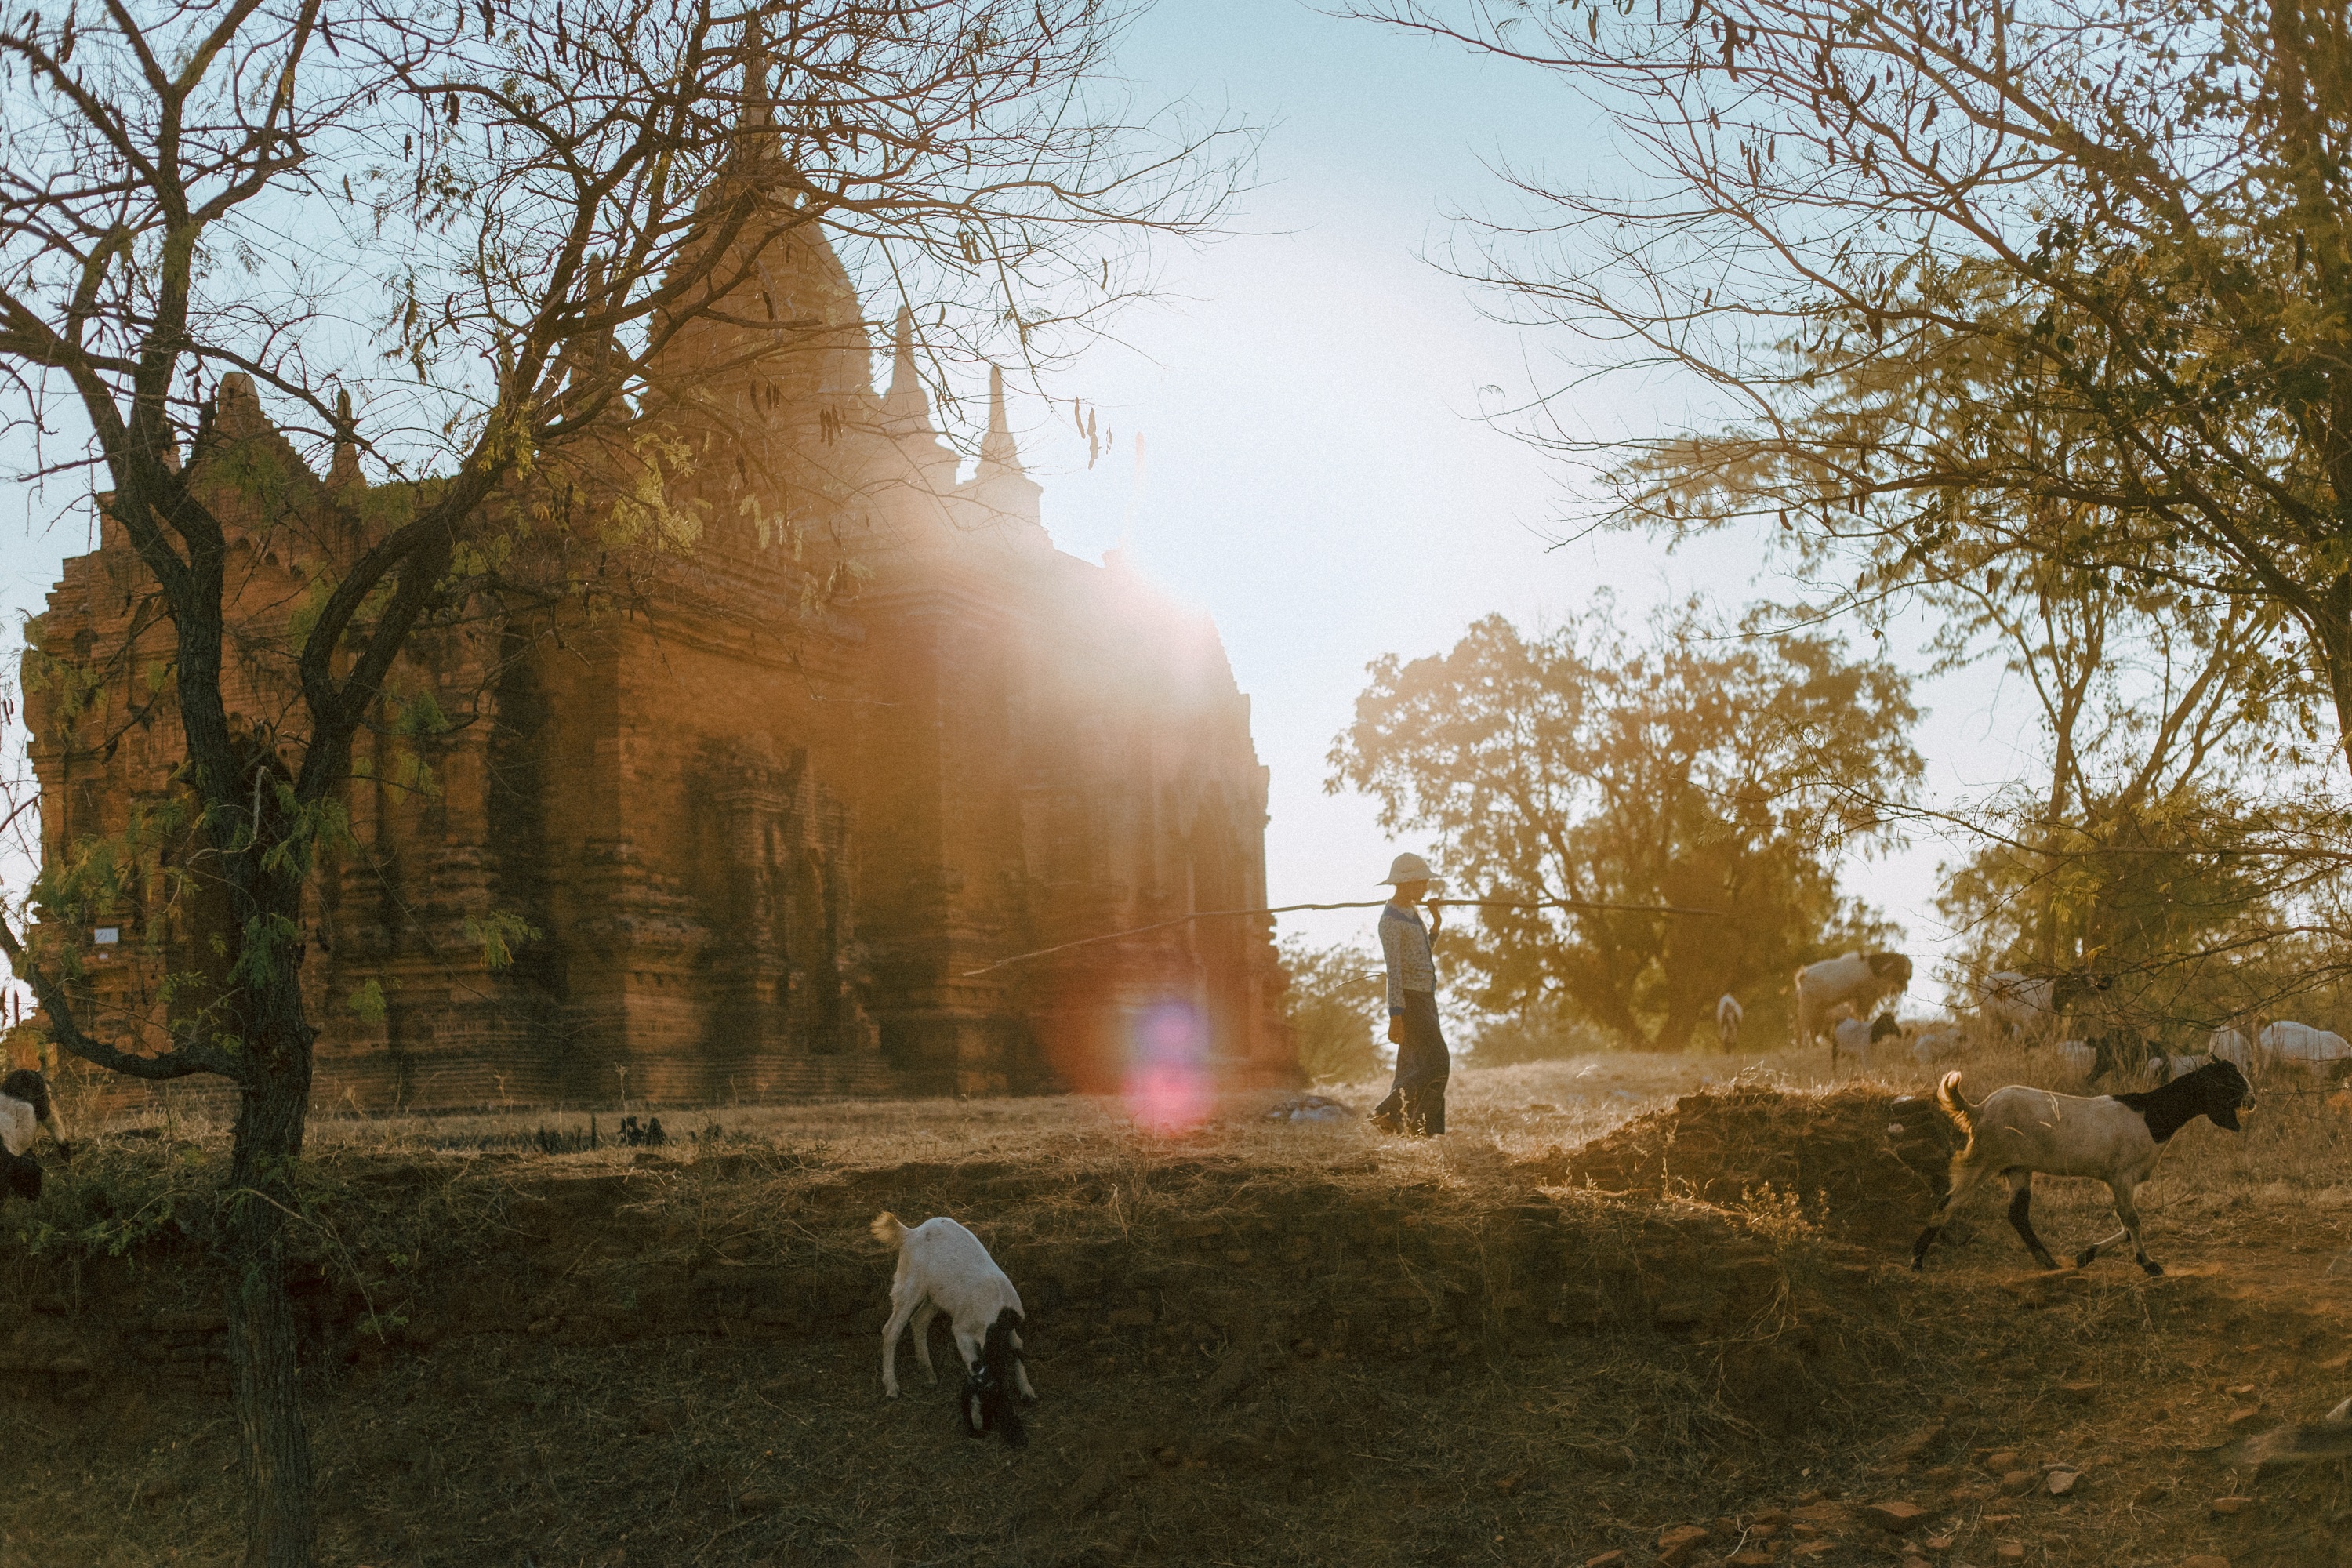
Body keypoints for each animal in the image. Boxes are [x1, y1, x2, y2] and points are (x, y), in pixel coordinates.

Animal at [870, 1213, 1035, 1448]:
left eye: (988, 1403)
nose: (978, 1430)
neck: (998, 1317)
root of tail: (911, 1232)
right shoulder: (962, 1331)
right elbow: (971, 1360)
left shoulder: (1012, 1328)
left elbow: (1018, 1347)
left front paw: (1027, 1391)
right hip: (911, 1284)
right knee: (891, 1330)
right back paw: (892, 1387)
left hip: (936, 1295)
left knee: (919, 1321)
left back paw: (929, 1374)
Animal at [1797, 949, 1910, 1048]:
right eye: (1898, 967)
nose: (1905, 985)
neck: (1872, 968)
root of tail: (1803, 975)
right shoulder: (1864, 998)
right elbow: (1863, 1016)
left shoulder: (1857, 1000)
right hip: (1809, 1007)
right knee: (1805, 1026)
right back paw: (1807, 1046)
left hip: (1820, 1010)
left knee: (1814, 1027)